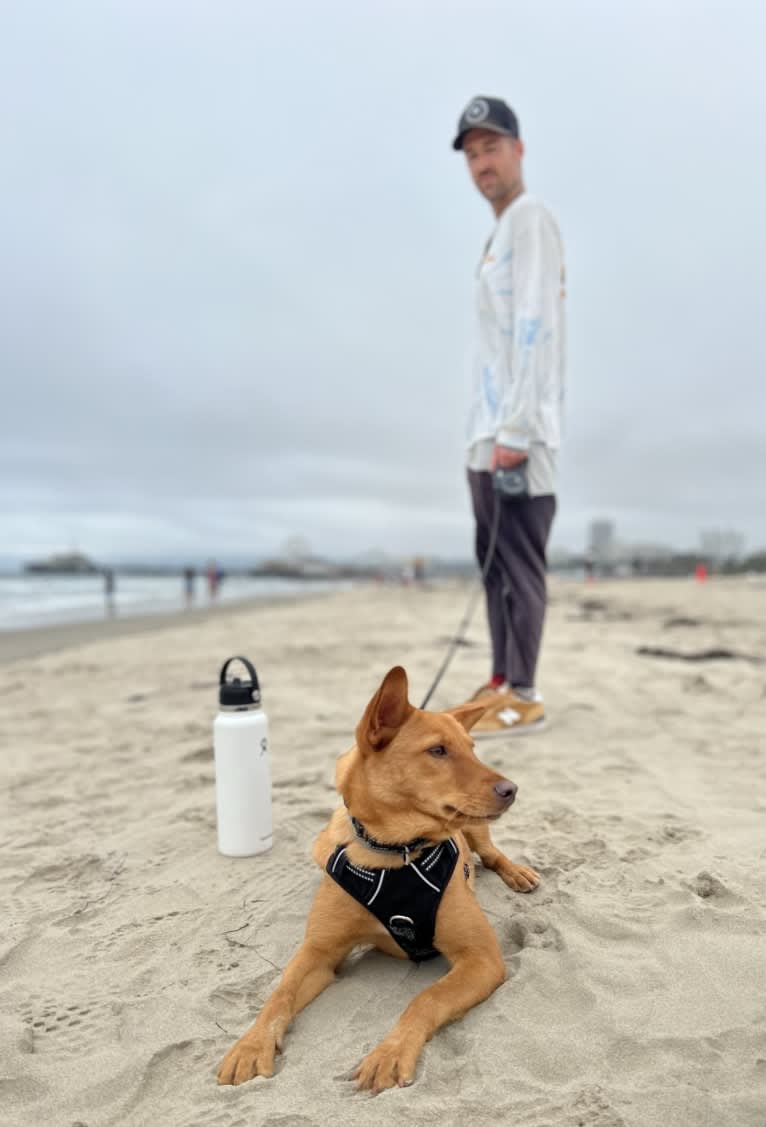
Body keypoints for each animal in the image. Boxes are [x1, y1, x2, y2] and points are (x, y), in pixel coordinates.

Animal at [215, 667, 538, 1090]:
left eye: (473, 748)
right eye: (438, 751)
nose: (512, 789)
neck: (395, 852)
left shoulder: (481, 958)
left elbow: (426, 999)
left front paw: (390, 1053)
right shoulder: (319, 952)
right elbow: (278, 994)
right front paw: (250, 1045)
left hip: (474, 828)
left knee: (492, 853)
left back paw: (517, 873)